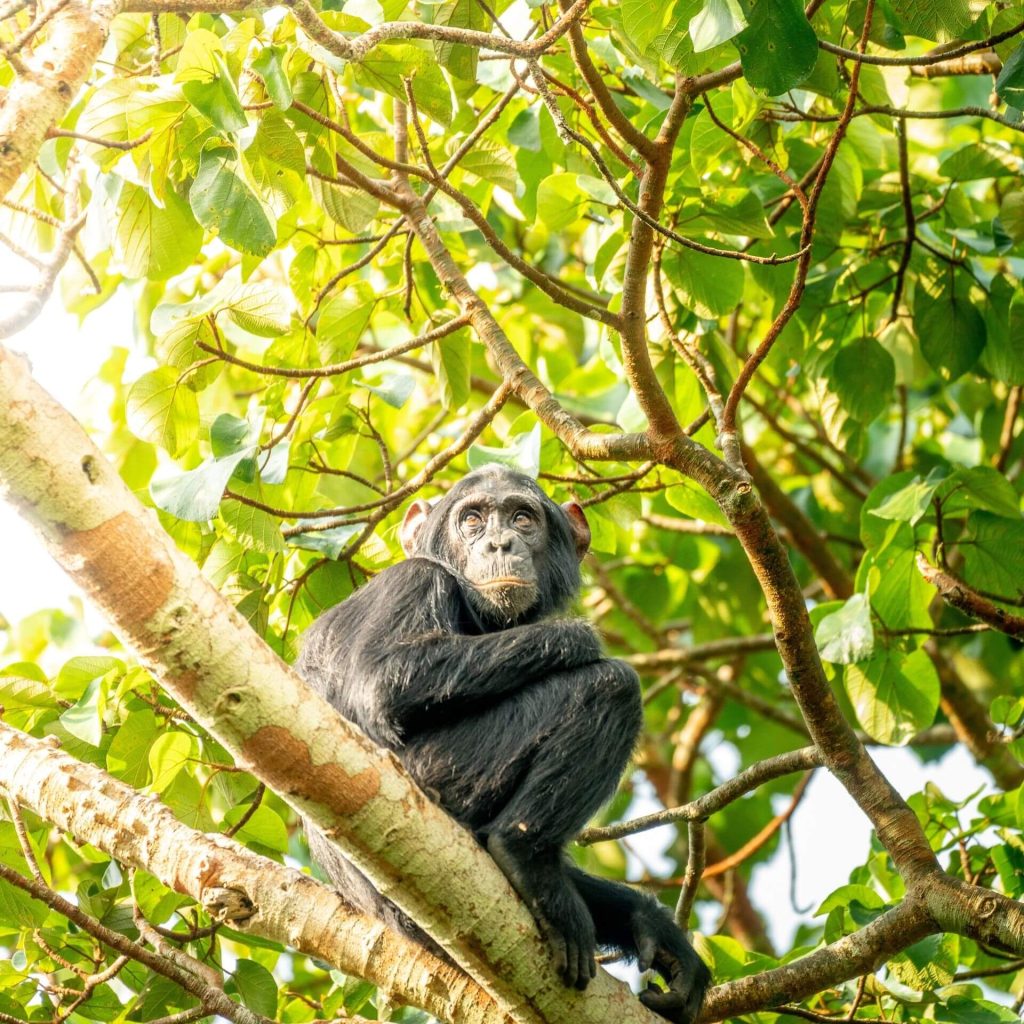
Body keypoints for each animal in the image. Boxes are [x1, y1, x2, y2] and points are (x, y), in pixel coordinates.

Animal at [299, 466, 708, 1024]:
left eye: (522, 518)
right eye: (471, 519)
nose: (498, 542)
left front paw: (655, 929)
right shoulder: (413, 582)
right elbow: (389, 676)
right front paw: (577, 635)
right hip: (444, 773)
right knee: (612, 686)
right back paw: (525, 857)